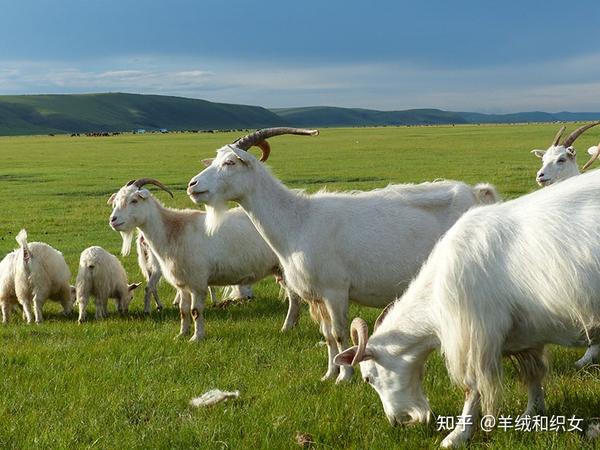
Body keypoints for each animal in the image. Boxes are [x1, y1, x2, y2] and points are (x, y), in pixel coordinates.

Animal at [108, 178, 302, 340]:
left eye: (134, 200)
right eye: (116, 203)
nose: (113, 220)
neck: (173, 230)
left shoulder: (197, 282)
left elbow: (195, 311)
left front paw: (197, 337)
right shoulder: (183, 284)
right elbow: (183, 311)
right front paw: (181, 334)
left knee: (293, 297)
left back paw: (286, 327)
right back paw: (292, 325)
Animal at [188, 127, 502, 384]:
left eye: (229, 163)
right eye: (214, 160)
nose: (193, 185)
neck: (298, 220)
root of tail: (476, 194)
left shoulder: (335, 291)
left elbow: (339, 333)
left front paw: (345, 377)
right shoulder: (316, 296)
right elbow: (328, 336)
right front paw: (329, 374)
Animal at [336, 168, 600, 446]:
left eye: (368, 377)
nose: (398, 422)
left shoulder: (474, 336)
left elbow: (472, 388)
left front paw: (456, 436)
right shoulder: (526, 336)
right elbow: (533, 373)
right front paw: (531, 414)